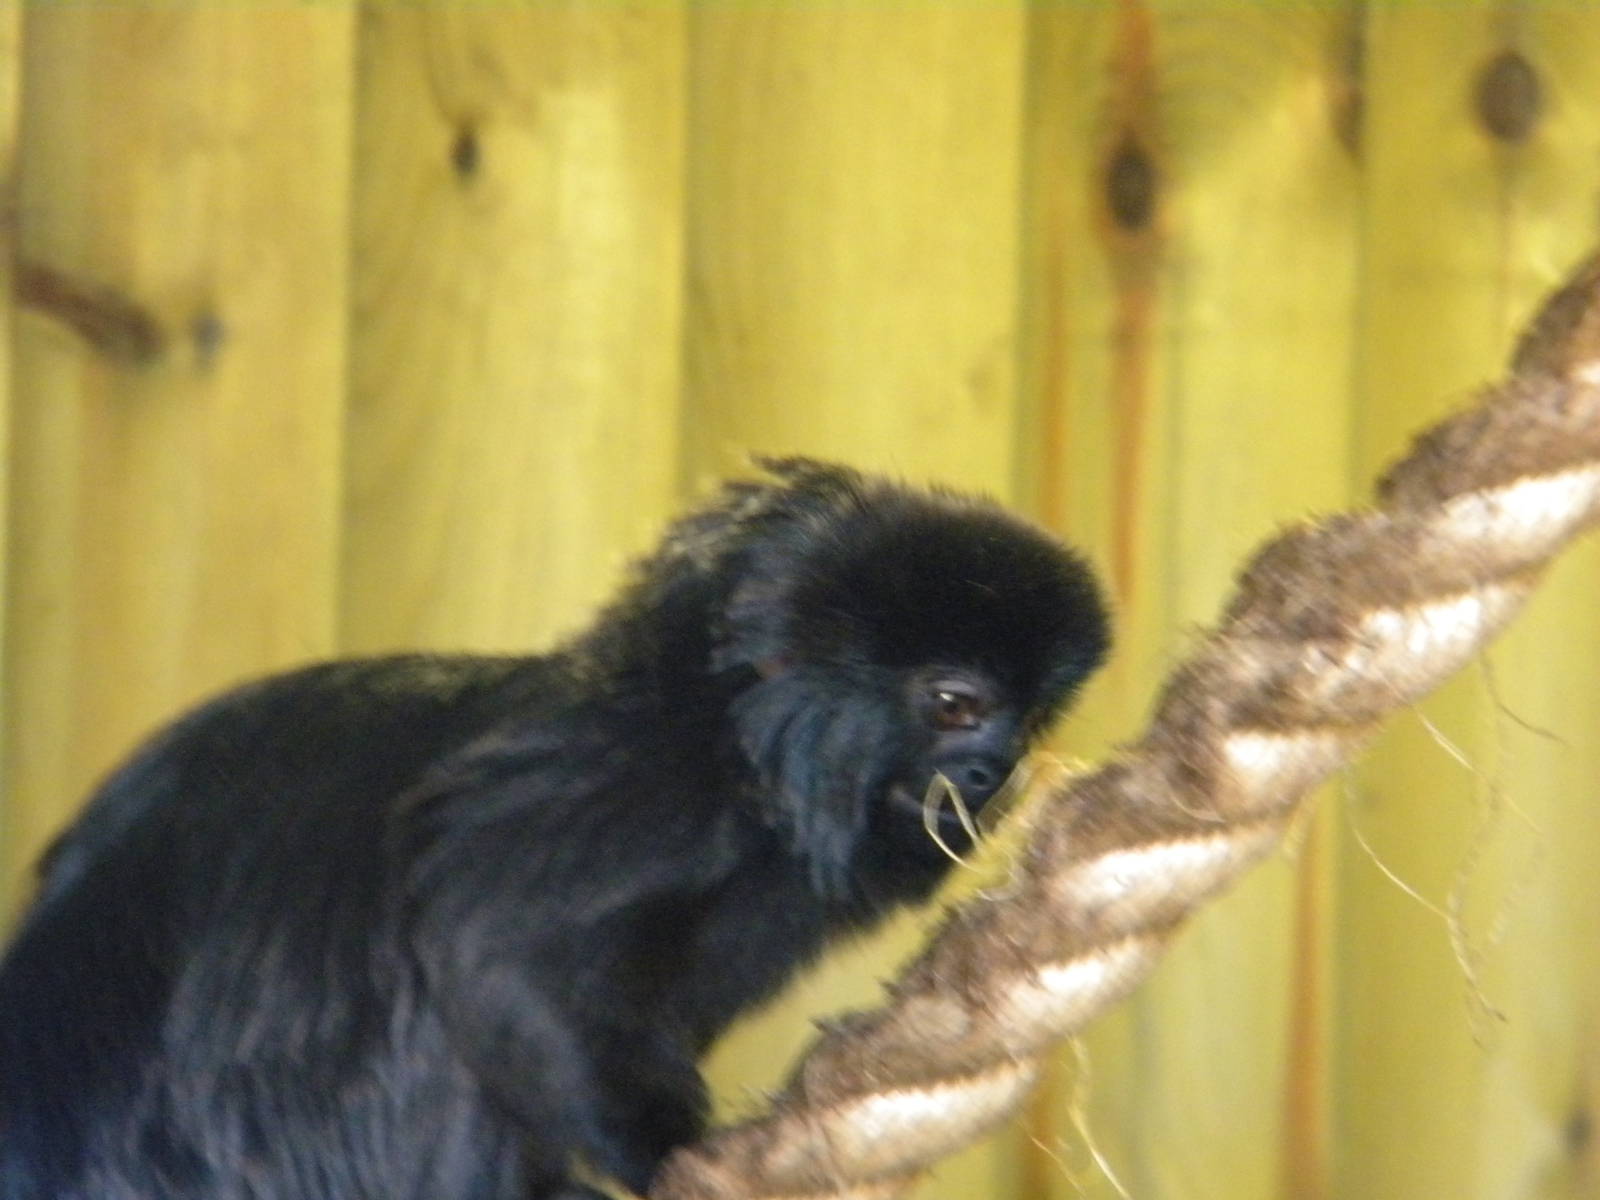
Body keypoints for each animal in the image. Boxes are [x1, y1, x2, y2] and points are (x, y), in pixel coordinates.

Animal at [0, 457, 1110, 1200]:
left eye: (1026, 718)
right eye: (956, 706)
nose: (994, 770)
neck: (732, 747)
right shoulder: (636, 796)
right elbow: (492, 942)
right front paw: (662, 1154)